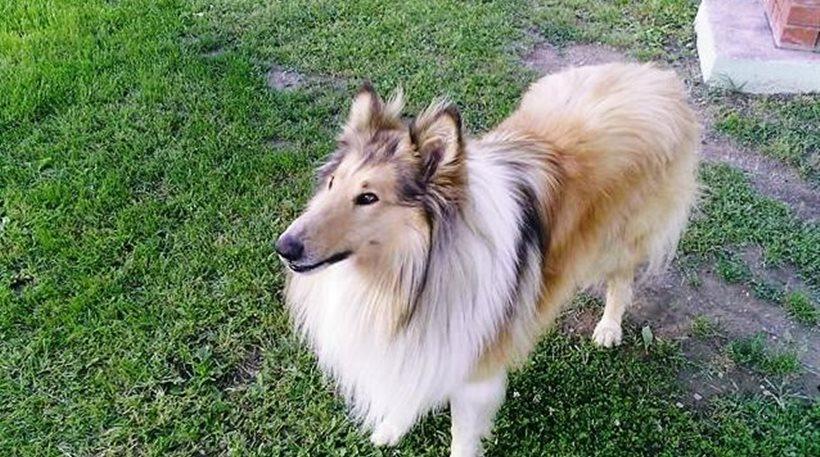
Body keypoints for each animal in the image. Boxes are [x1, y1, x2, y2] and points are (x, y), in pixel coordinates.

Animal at [276, 62, 699, 456]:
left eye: (368, 197)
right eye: (332, 184)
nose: (284, 247)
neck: (413, 274)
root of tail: (655, 77)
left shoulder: (473, 375)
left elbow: (462, 437)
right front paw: (391, 428)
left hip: (619, 240)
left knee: (621, 280)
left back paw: (609, 328)